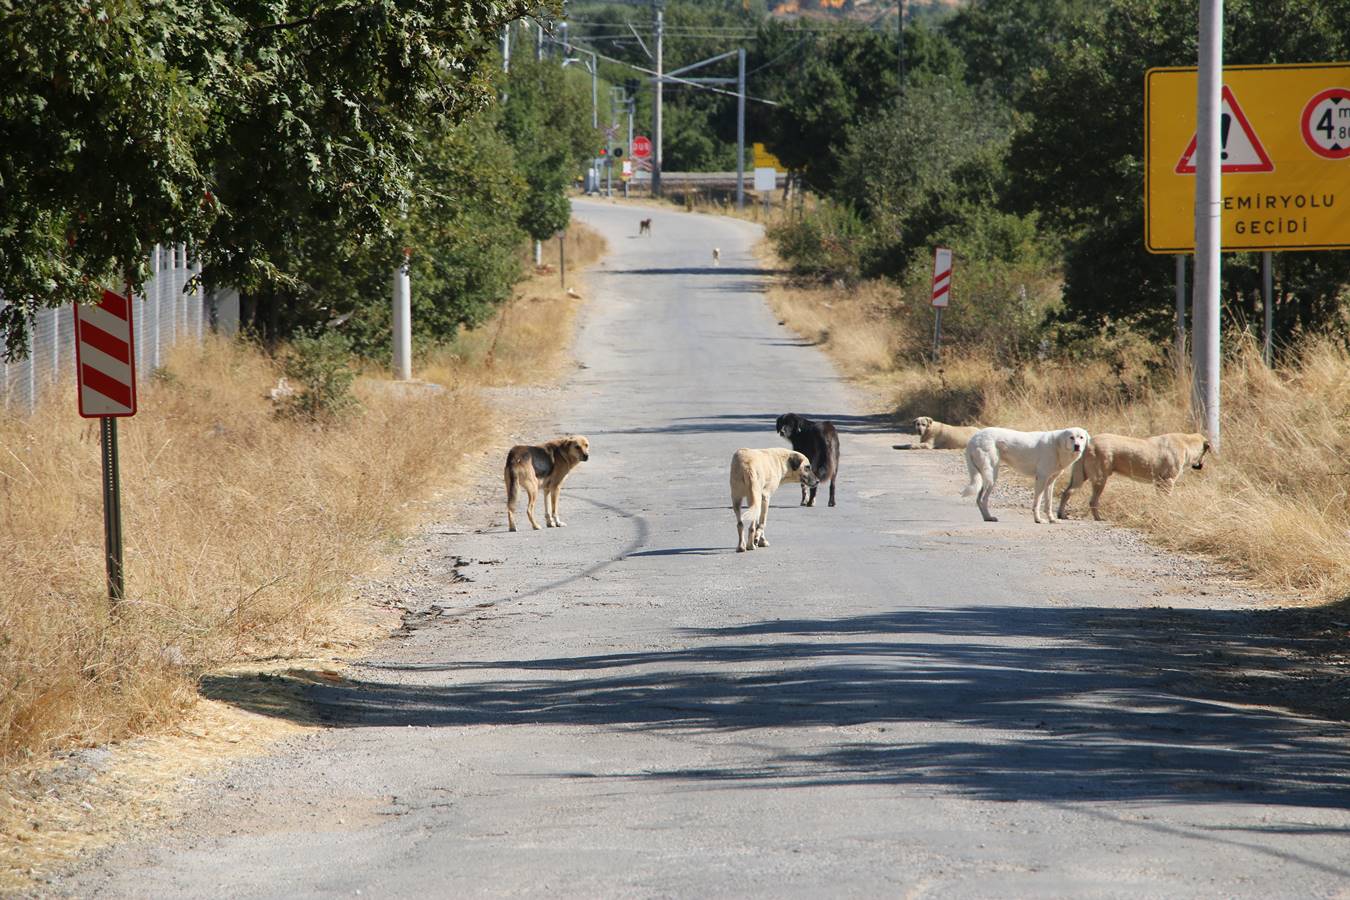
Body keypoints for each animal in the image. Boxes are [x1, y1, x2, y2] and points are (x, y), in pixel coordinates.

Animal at [1053, 429, 1215, 520]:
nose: (1201, 467)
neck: (1187, 442)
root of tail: (1087, 443)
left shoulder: (1159, 483)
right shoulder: (1167, 481)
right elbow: (1166, 501)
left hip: (1080, 476)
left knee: (1066, 492)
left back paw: (1062, 514)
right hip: (1100, 479)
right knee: (1091, 501)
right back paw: (1097, 518)